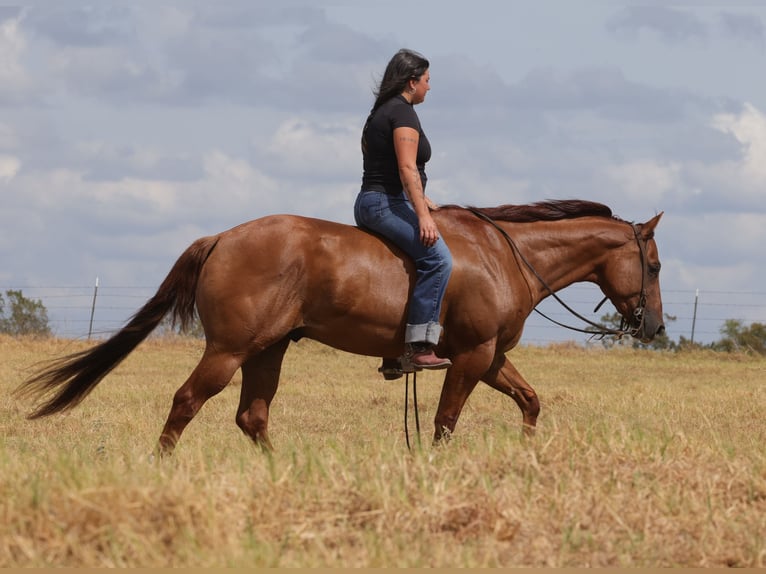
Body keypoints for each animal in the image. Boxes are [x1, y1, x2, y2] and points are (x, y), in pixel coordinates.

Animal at [16, 199, 665, 454]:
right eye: (654, 265)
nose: (653, 326)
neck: (504, 255)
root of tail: (222, 237)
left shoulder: (491, 357)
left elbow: (529, 401)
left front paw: (528, 453)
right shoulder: (474, 357)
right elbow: (445, 423)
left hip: (268, 351)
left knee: (252, 416)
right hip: (229, 350)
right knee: (187, 401)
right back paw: (162, 467)